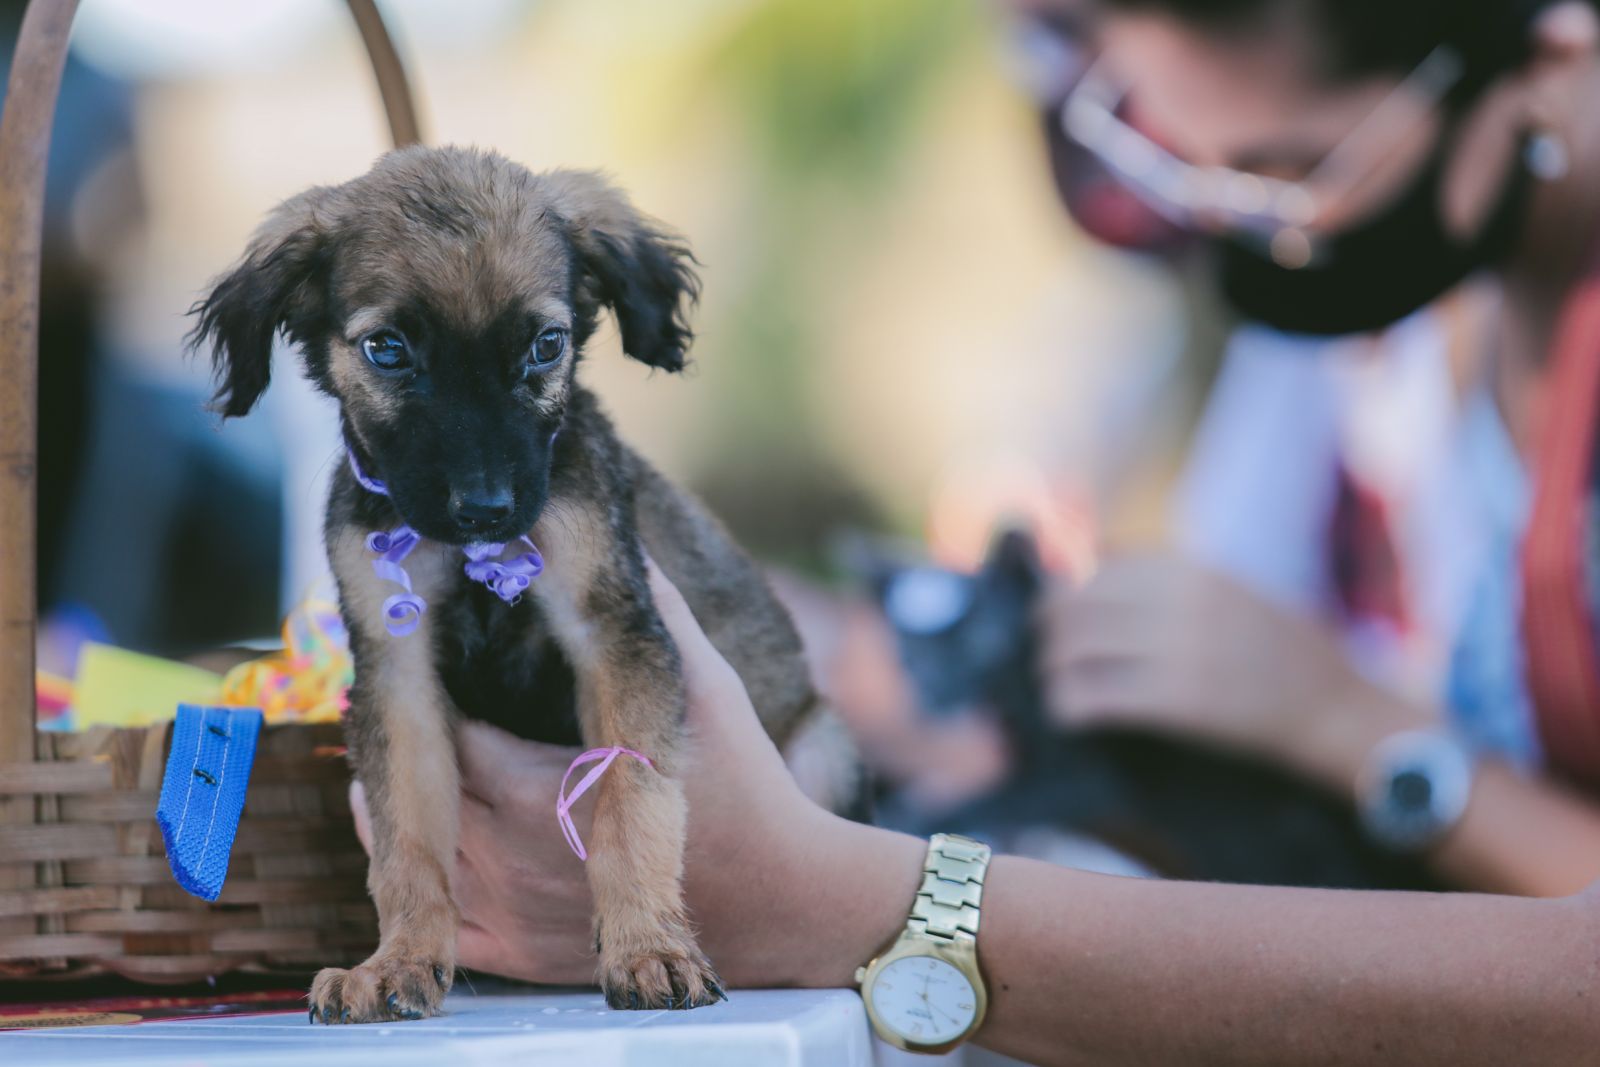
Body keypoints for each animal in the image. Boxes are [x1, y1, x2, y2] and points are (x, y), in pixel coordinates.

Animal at [190, 146, 851, 1023]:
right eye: (387, 349)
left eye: (546, 344)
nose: (486, 509)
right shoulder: (396, 674)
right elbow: (405, 840)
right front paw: (398, 960)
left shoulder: (613, 633)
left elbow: (630, 802)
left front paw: (649, 947)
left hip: (825, 747)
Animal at [864, 534, 1440, 895]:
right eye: (907, 659)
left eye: (981, 643)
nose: (932, 695)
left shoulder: (1082, 770)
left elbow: (1012, 795)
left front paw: (919, 813)